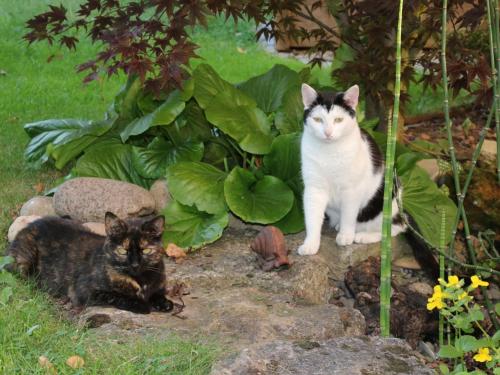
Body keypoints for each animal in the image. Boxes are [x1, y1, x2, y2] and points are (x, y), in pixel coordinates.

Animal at [5, 212, 174, 314]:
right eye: (122, 251)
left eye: (145, 251)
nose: (135, 265)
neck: (141, 281)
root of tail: (28, 226)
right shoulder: (85, 291)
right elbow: (117, 296)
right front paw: (142, 305)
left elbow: (157, 294)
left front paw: (164, 303)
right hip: (24, 262)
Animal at [298, 83, 404, 258]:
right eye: (318, 119)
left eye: (338, 120)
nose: (328, 133)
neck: (329, 153)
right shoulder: (314, 189)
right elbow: (312, 218)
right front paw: (311, 244)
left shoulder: (351, 190)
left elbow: (349, 215)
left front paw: (346, 236)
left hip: (385, 202)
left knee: (394, 229)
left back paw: (362, 236)